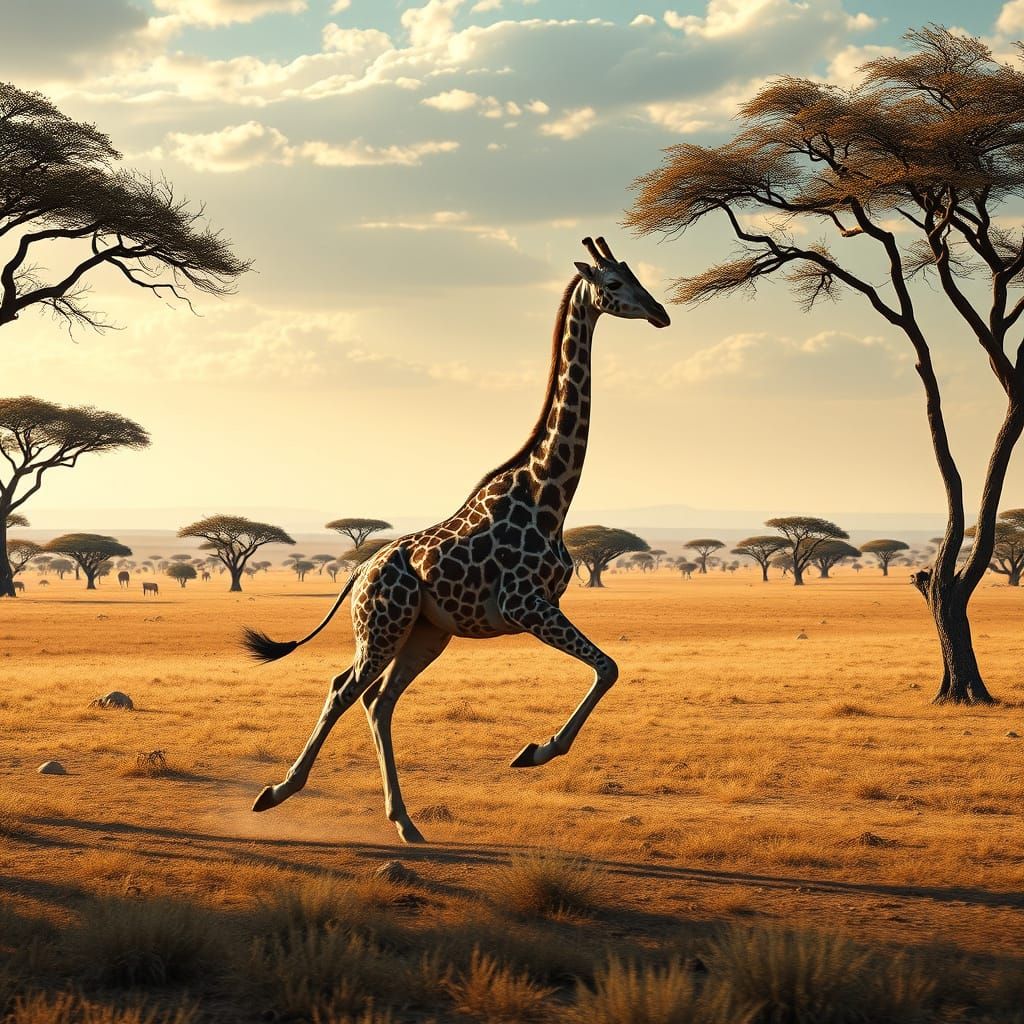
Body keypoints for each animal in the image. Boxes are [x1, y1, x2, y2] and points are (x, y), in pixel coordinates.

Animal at [243, 237, 670, 843]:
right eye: (612, 284)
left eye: (635, 275)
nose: (660, 312)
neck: (551, 495)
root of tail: (361, 570)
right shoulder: (526, 604)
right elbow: (607, 667)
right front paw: (534, 752)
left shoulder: (535, 607)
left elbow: (607, 668)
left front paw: (532, 751)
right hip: (382, 625)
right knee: (343, 688)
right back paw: (277, 793)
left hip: (427, 633)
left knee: (378, 700)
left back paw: (405, 822)